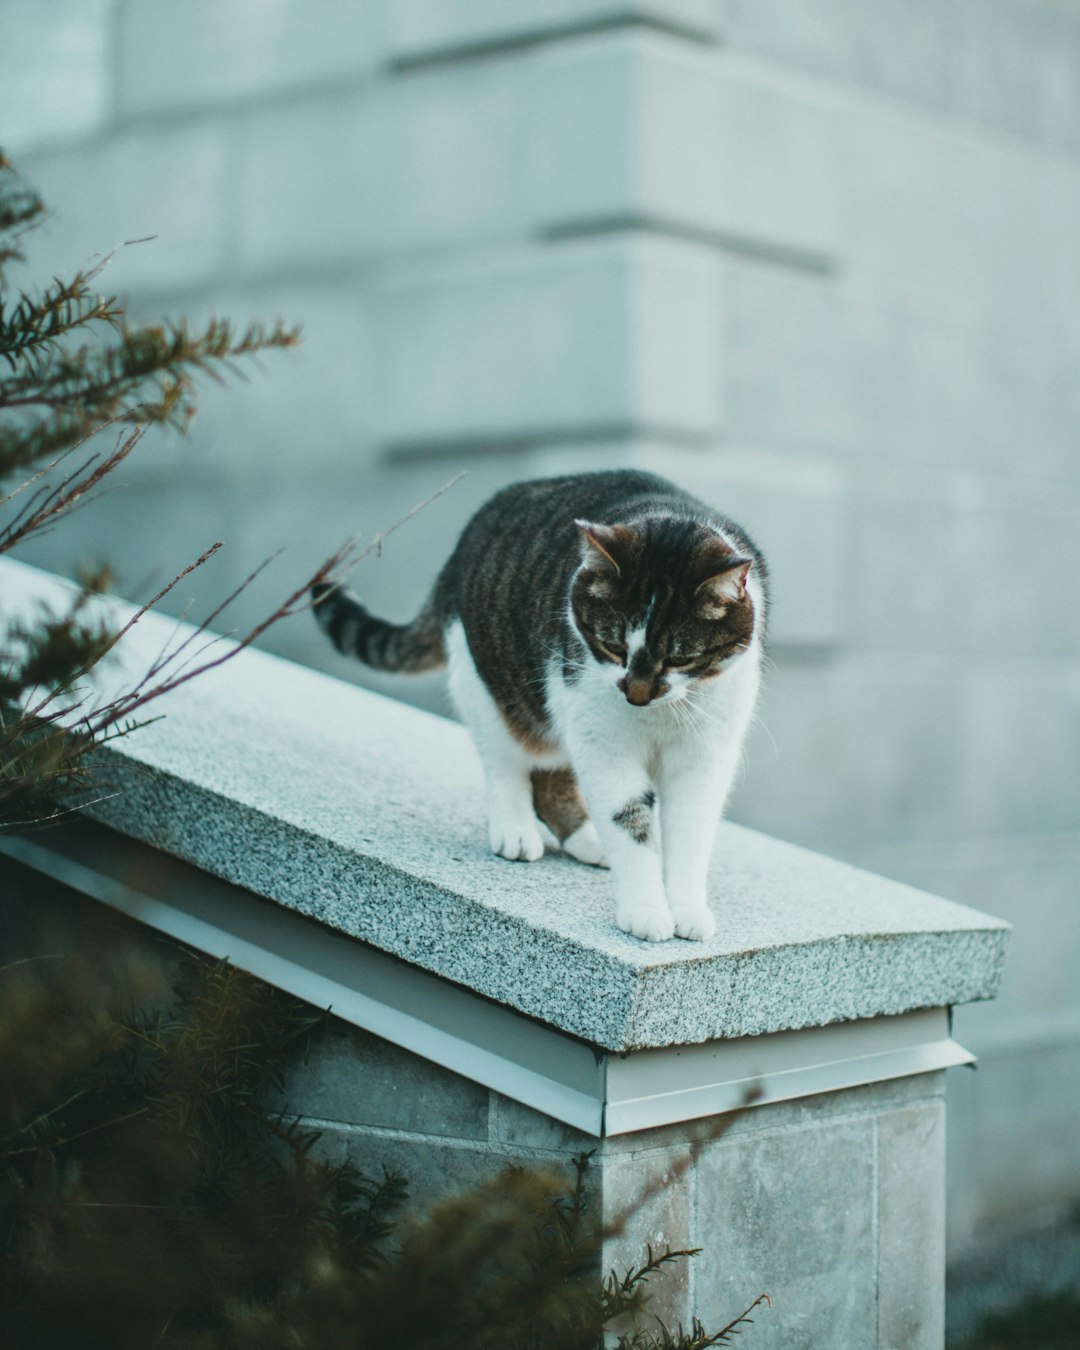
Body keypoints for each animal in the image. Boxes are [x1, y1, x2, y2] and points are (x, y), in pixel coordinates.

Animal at [311, 469, 766, 945]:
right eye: (612, 646)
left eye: (679, 658)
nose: (635, 695)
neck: (661, 712)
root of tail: (463, 542)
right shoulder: (604, 740)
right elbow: (627, 819)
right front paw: (644, 910)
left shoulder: (705, 753)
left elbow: (692, 832)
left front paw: (688, 910)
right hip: (495, 686)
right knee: (506, 761)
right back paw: (515, 832)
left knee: (552, 778)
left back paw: (587, 840)